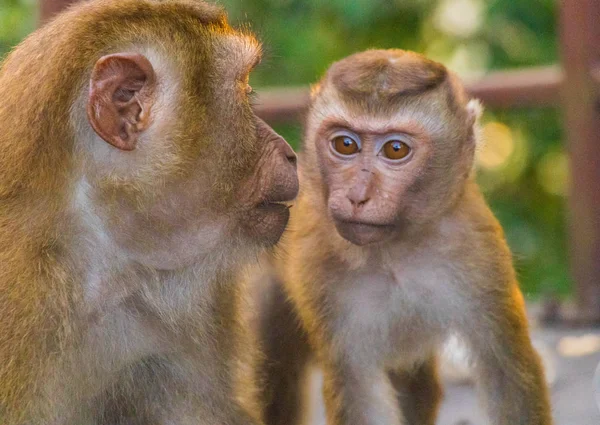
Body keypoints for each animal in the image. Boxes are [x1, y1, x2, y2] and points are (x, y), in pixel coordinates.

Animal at [254, 49, 552, 424]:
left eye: (396, 149)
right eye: (345, 144)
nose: (358, 196)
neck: (393, 252)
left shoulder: (478, 253)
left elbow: (504, 369)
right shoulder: (319, 273)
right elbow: (357, 389)